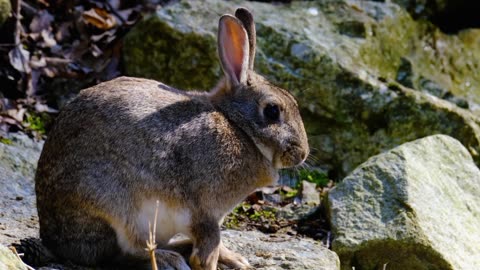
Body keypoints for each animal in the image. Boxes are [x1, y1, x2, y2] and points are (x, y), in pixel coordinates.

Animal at [35, 7, 310, 268]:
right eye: (272, 111)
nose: (302, 154)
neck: (238, 127)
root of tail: (54, 238)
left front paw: (238, 260)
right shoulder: (206, 212)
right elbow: (207, 252)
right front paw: (213, 263)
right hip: (118, 208)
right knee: (128, 251)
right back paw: (171, 260)